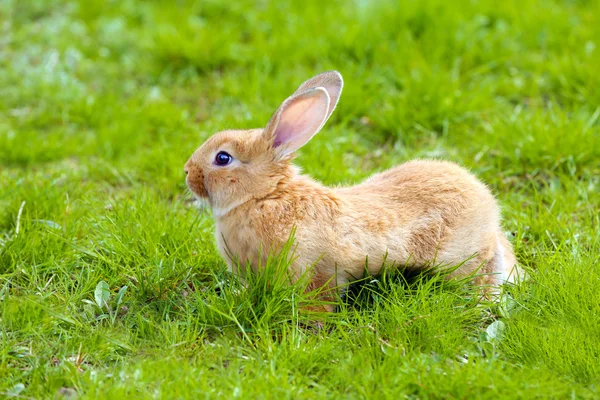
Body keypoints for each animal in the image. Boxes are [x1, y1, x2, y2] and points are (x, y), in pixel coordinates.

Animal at [186, 71, 520, 310]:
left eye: (223, 158)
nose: (188, 173)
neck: (265, 196)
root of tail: (488, 204)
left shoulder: (314, 267)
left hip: (462, 256)